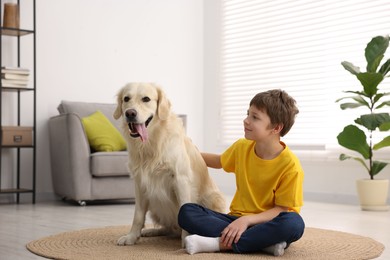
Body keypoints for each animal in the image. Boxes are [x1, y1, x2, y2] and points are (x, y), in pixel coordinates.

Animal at [112, 82, 225, 246]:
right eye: (126, 98)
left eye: (146, 99)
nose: (130, 113)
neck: (151, 144)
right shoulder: (140, 183)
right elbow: (138, 215)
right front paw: (132, 236)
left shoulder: (181, 179)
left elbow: (185, 210)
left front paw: (186, 241)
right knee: (169, 229)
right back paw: (151, 231)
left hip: (214, 198)